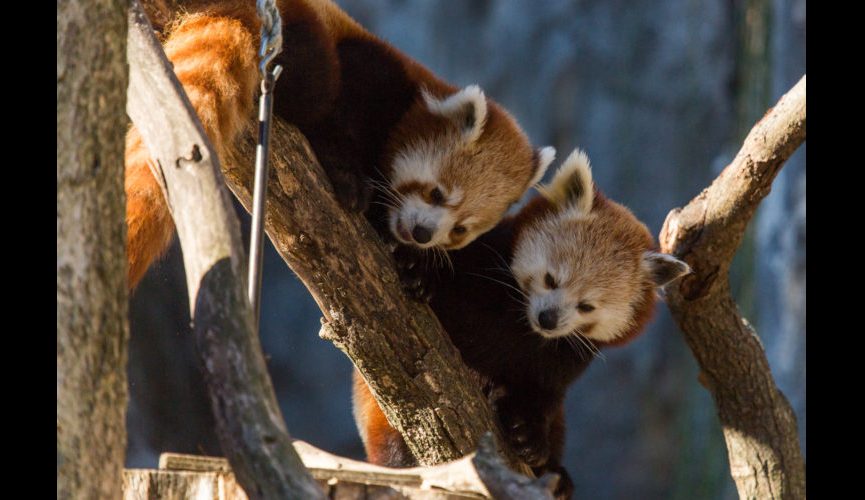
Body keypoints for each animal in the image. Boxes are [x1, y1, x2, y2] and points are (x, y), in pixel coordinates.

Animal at [125, 0, 552, 288]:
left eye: (461, 230)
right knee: (313, 82)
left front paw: (415, 265)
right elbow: (335, 117)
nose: (422, 234)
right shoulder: (373, 69)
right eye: (436, 193)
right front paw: (348, 177)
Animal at [352, 148, 688, 500]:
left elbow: (543, 393)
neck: (522, 324)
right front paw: (419, 267)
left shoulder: (566, 357)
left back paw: (557, 474)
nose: (548, 319)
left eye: (586, 306)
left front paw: (530, 437)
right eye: (551, 279)